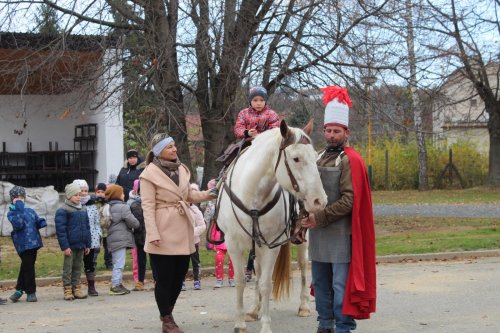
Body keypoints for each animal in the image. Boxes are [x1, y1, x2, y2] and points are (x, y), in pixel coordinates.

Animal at [216, 120, 326, 332]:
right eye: (296, 158)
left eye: (316, 157)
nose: (320, 201)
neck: (253, 196)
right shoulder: (234, 245)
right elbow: (241, 281)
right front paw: (240, 323)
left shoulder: (271, 246)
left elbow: (266, 284)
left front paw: (266, 325)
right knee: (257, 272)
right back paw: (254, 309)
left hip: (302, 240)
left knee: (302, 267)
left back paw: (304, 306)